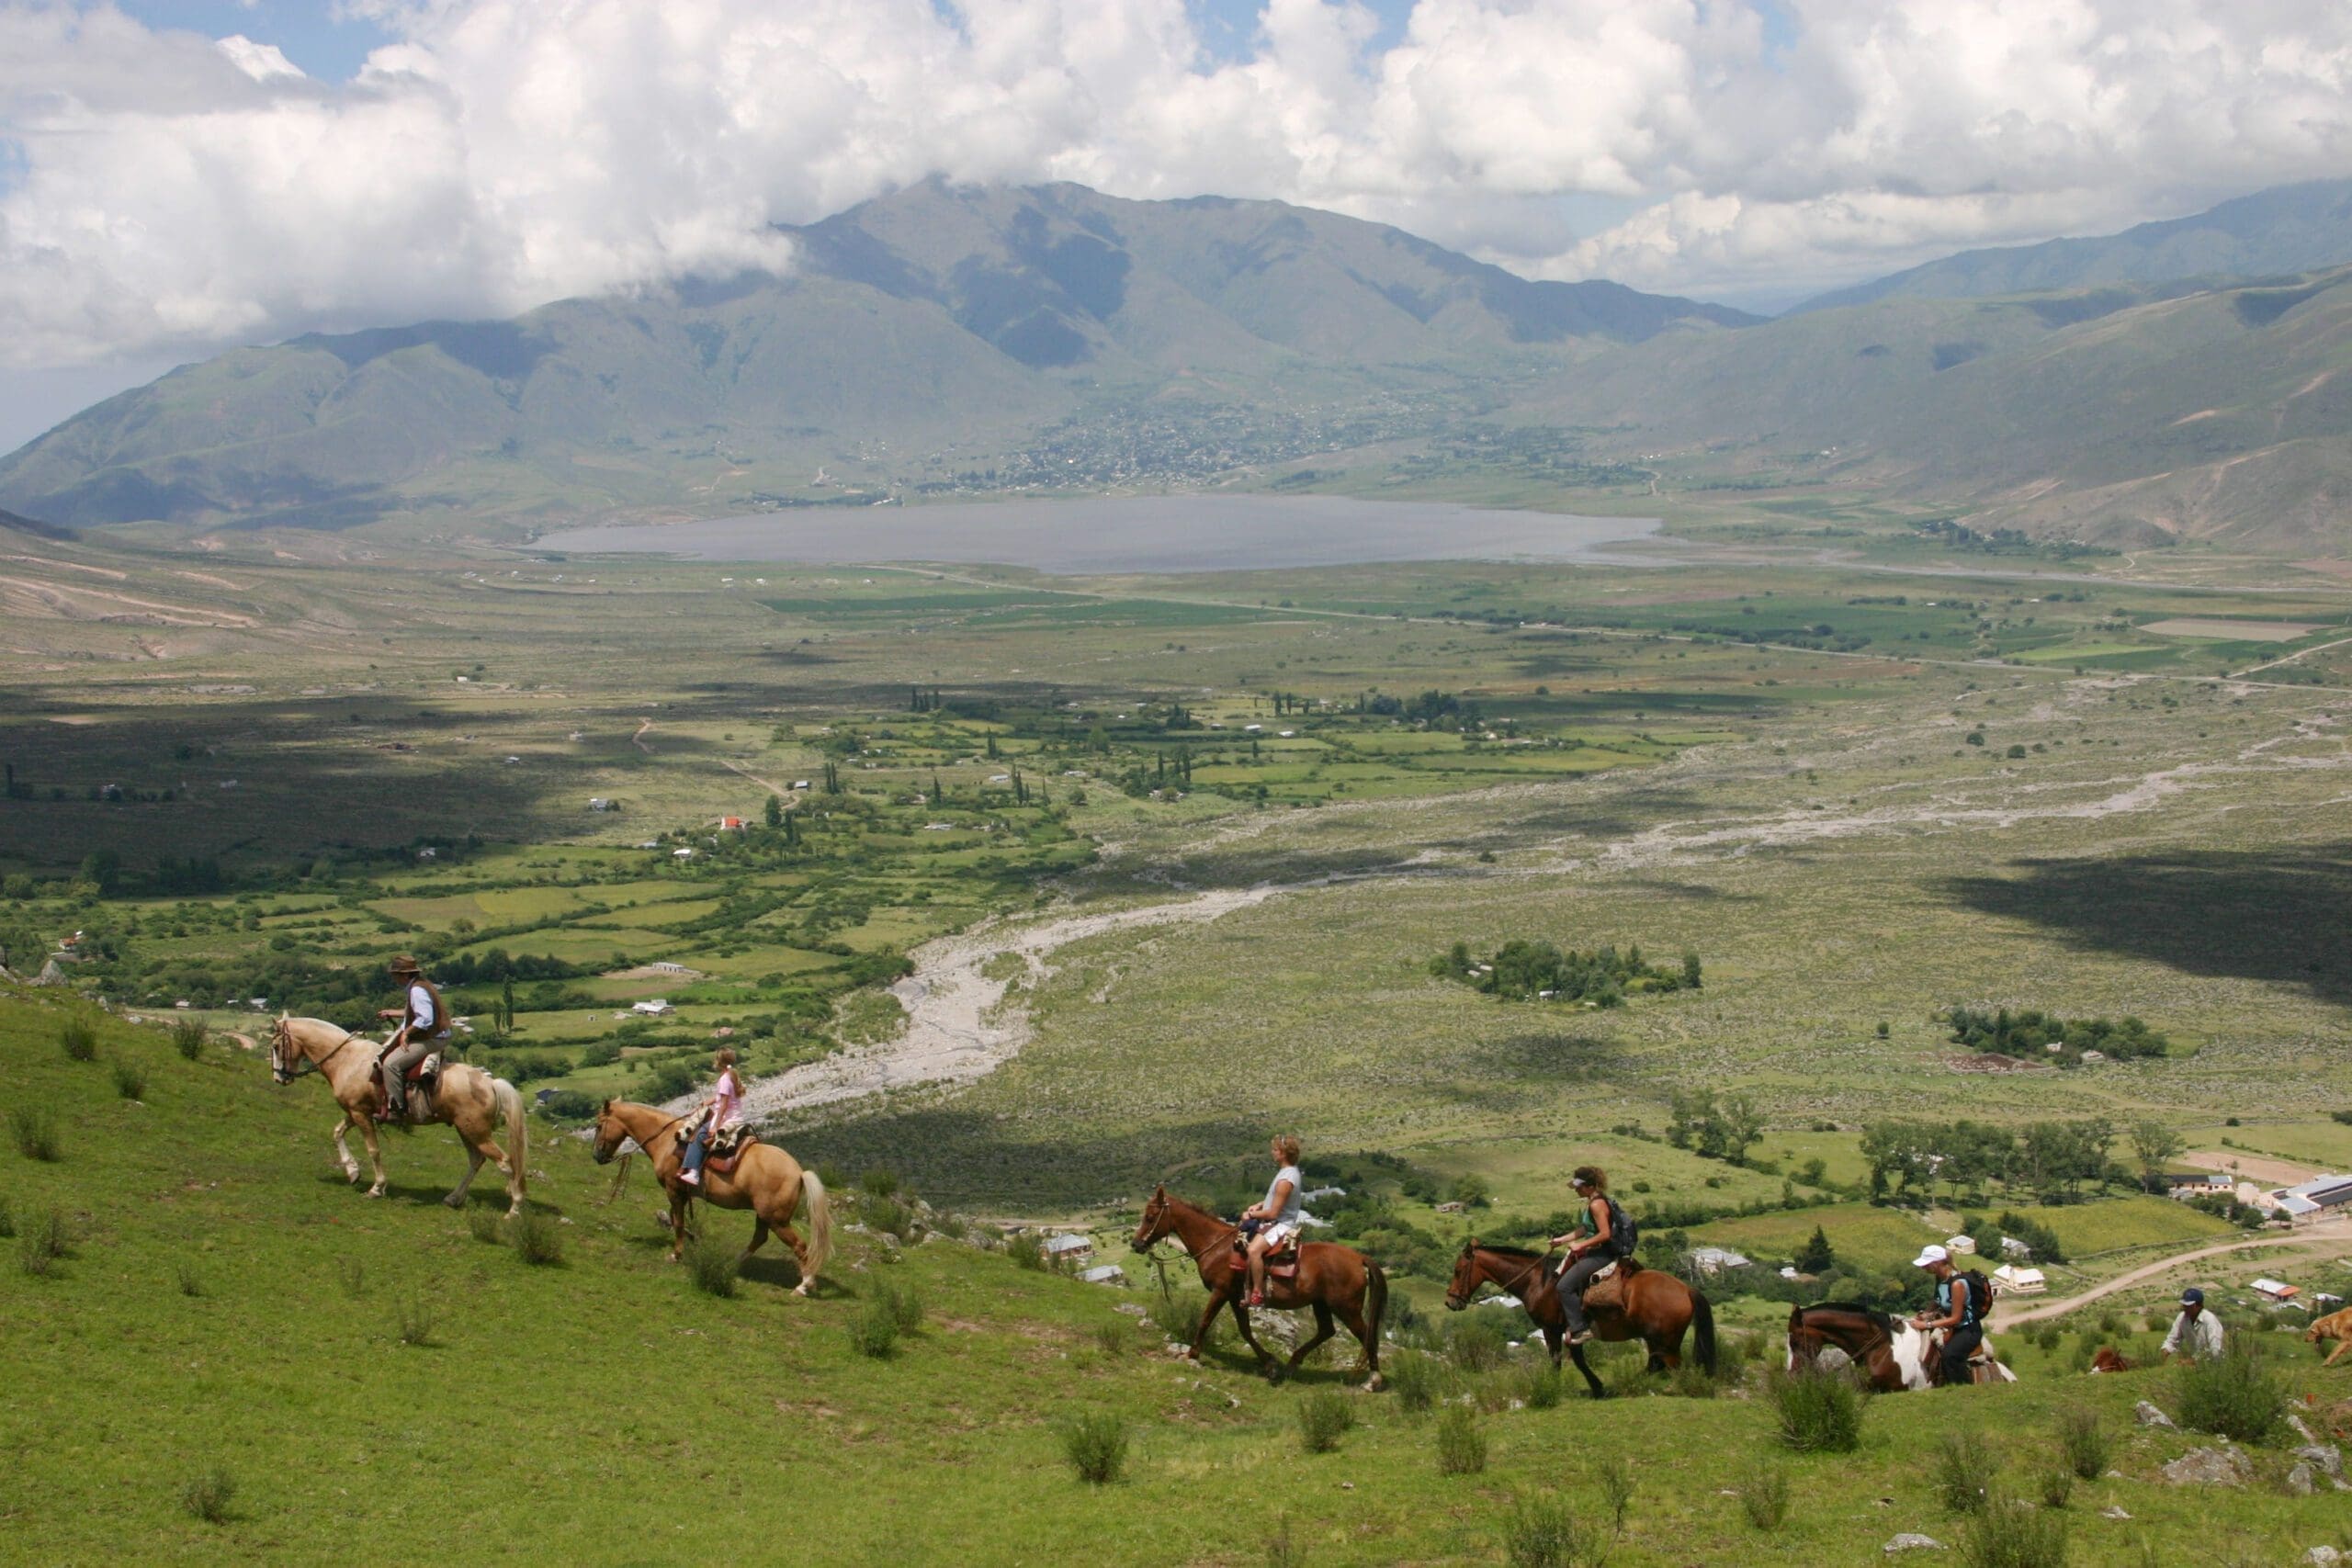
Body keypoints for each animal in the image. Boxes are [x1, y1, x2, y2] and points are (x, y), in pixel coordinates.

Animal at [270, 1010, 529, 1222]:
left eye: (275, 1046)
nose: (278, 1078)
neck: (347, 1059)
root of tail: (491, 1083)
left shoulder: (360, 1114)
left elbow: (373, 1150)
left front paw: (376, 1188)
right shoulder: (356, 1112)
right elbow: (337, 1132)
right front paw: (352, 1172)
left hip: (475, 1131)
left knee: (505, 1163)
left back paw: (514, 1210)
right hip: (465, 1130)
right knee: (477, 1161)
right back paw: (454, 1198)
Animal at [593, 1100, 832, 1297]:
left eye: (599, 1125)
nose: (597, 1156)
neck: (666, 1140)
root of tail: (798, 1172)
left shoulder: (674, 1191)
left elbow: (678, 1222)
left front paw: (676, 1255)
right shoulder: (681, 1194)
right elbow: (677, 1220)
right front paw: (692, 1242)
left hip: (777, 1220)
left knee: (799, 1245)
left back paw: (804, 1286)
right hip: (764, 1216)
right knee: (759, 1238)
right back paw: (733, 1262)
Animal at [1128, 1184, 1383, 1392]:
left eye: (1150, 1217)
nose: (1136, 1243)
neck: (1217, 1247)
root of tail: (1359, 1258)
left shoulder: (1221, 1292)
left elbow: (1205, 1320)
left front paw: (1192, 1353)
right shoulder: (1235, 1297)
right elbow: (1246, 1331)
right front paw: (1270, 1364)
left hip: (1346, 1308)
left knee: (1365, 1334)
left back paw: (1373, 1380)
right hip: (1321, 1304)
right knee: (1326, 1331)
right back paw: (1292, 1363)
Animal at [1439, 1241, 1721, 1401]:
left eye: (1458, 1270)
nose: (1451, 1301)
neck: (1540, 1283)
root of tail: (1686, 1289)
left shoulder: (1551, 1329)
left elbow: (1557, 1360)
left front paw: (1552, 1387)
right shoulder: (1572, 1331)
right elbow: (1579, 1360)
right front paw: (1598, 1388)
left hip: (1666, 1342)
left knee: (1673, 1366)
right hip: (1656, 1340)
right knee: (1657, 1364)